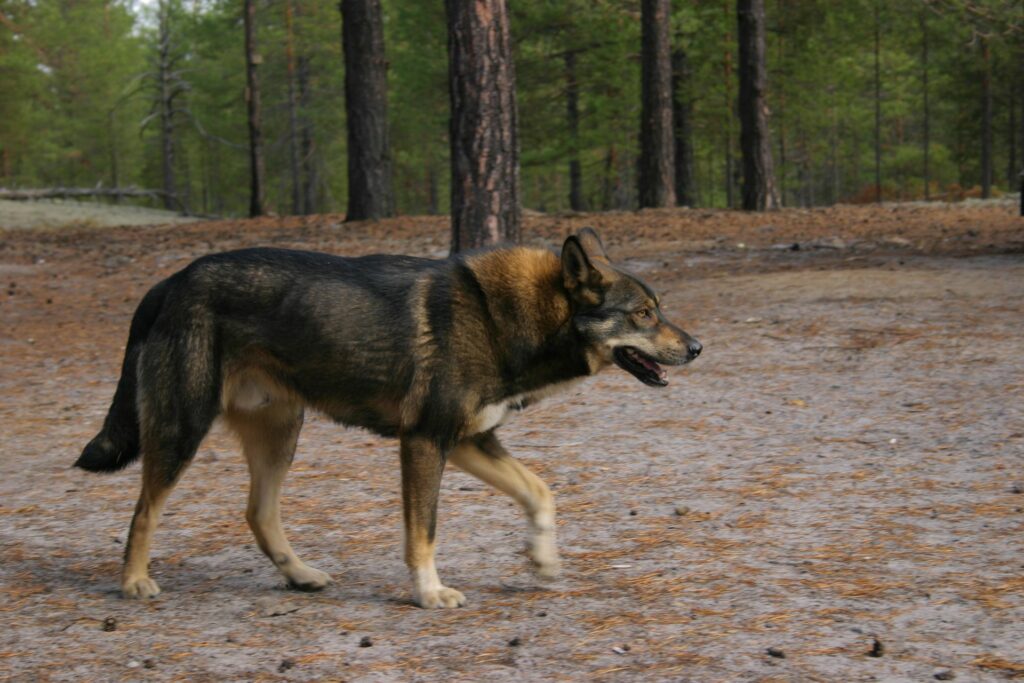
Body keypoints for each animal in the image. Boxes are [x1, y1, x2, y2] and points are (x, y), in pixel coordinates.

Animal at [77, 229, 704, 610]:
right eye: (644, 314)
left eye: (659, 310)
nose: (698, 347)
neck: (501, 318)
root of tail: (172, 281)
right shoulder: (426, 443)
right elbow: (423, 533)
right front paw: (430, 593)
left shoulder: (471, 440)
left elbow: (540, 493)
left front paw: (543, 558)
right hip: (183, 430)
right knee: (144, 511)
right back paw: (134, 581)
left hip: (280, 434)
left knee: (258, 513)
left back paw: (300, 575)